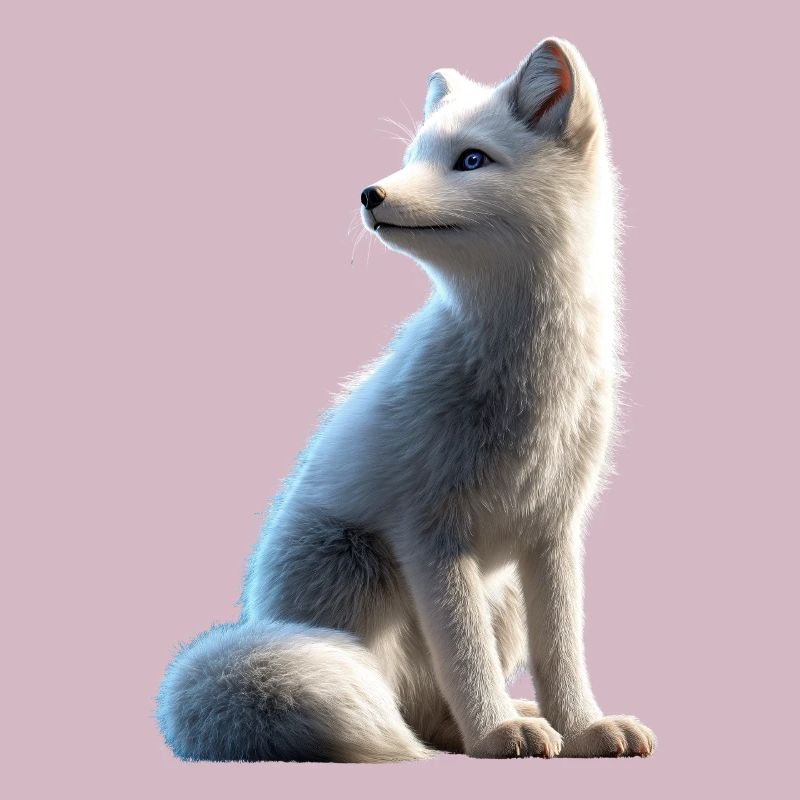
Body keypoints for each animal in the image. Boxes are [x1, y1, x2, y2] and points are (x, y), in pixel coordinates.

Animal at [157, 37, 656, 762]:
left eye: (471, 159)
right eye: (415, 154)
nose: (371, 192)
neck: (528, 379)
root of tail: (257, 617)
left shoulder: (554, 530)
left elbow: (563, 650)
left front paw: (586, 727)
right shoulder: (430, 531)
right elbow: (467, 659)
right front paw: (497, 733)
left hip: (500, 596)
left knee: (431, 708)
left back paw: (513, 720)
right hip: (361, 572)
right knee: (404, 704)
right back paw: (478, 730)